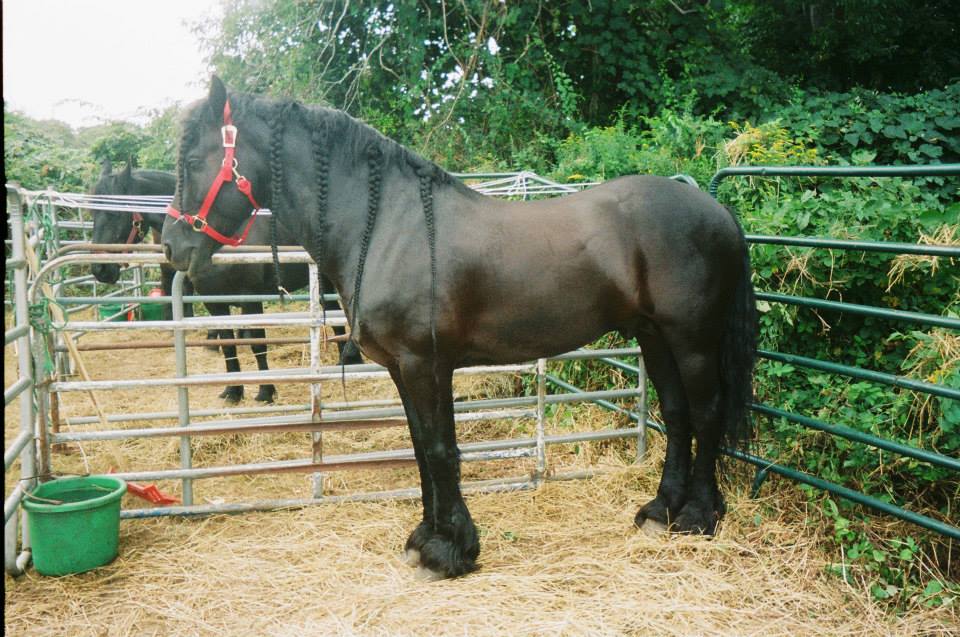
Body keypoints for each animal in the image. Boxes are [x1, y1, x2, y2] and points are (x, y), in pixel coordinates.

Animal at [90, 158, 362, 402]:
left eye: (114, 214)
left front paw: (265, 390)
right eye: (93, 214)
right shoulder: (214, 301)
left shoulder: (250, 298)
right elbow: (228, 345)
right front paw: (233, 390)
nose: (99, 269)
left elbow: (257, 344)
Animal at [159, 77, 756, 580]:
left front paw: (449, 551)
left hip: (691, 339)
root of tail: (718, 211)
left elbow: (442, 449)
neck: (386, 224)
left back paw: (699, 516)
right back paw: (661, 509)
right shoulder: (403, 368)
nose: (173, 246)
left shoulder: (426, 364)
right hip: (654, 336)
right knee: (677, 415)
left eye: (192, 159)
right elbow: (423, 449)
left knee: (706, 412)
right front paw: (429, 537)